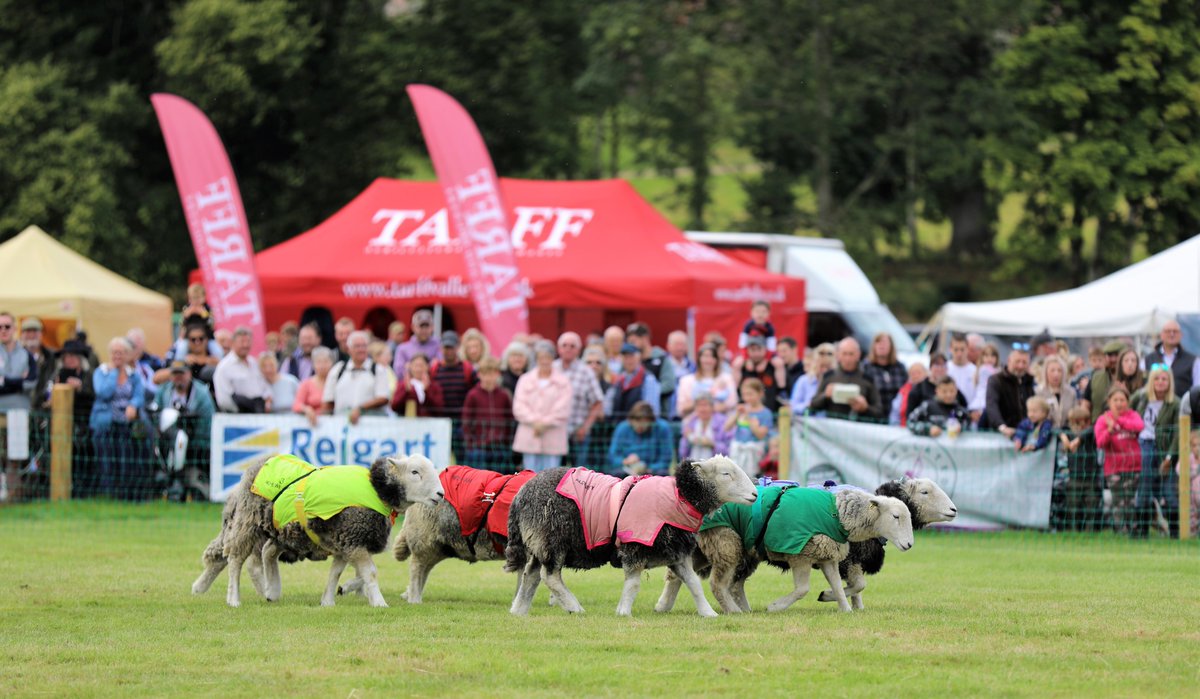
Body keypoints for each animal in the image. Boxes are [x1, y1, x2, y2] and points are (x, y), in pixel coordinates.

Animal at [190, 453, 444, 608]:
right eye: (414, 472)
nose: (440, 494)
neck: (377, 491)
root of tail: (257, 463)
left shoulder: (344, 542)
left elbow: (336, 573)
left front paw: (328, 600)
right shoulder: (353, 540)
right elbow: (369, 573)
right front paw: (379, 602)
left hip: (282, 530)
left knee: (265, 553)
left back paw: (271, 591)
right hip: (248, 521)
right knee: (235, 559)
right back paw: (234, 598)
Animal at [504, 456, 757, 617]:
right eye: (726, 474)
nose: (755, 494)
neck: (677, 498)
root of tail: (521, 494)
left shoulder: (677, 551)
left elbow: (693, 583)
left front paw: (708, 613)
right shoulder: (635, 545)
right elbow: (634, 584)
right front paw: (623, 611)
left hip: (539, 541)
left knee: (530, 575)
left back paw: (519, 610)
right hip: (552, 537)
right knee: (550, 576)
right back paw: (574, 607)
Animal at [655, 486, 913, 614]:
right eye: (896, 516)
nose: (909, 545)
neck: (837, 513)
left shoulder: (827, 554)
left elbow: (840, 587)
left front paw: (842, 606)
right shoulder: (801, 553)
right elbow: (802, 589)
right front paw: (775, 607)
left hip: (706, 547)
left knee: (678, 574)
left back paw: (663, 605)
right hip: (725, 541)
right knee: (718, 584)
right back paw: (734, 610)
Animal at [814, 477, 956, 610]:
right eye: (924, 492)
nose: (953, 510)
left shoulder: (855, 560)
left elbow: (856, 587)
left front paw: (858, 607)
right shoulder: (848, 559)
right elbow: (859, 585)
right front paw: (827, 595)